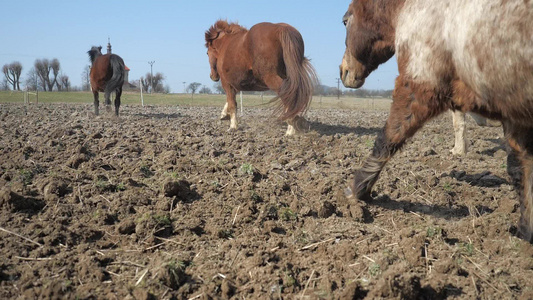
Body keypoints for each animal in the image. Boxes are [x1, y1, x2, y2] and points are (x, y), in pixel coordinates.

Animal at [340, 0, 532, 243]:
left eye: (345, 21)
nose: (343, 71)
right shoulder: (515, 118)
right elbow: (521, 168)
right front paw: (526, 230)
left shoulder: (420, 86)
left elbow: (388, 139)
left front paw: (358, 189)